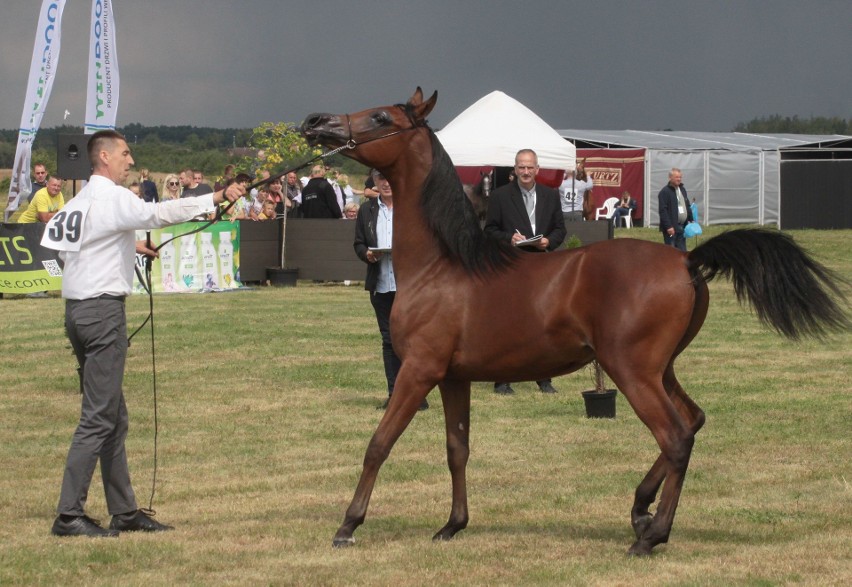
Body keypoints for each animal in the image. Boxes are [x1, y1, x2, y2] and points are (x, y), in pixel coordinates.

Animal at [300, 87, 844, 556]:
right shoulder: (454, 377)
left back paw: (650, 535)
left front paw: (348, 525)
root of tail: (687, 260)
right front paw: (452, 525)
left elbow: (379, 443)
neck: (444, 266)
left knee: (675, 437)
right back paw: (642, 510)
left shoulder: (418, 371)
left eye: (381, 118)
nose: (316, 122)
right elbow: (458, 448)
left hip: (631, 370)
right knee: (692, 422)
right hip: (660, 369)